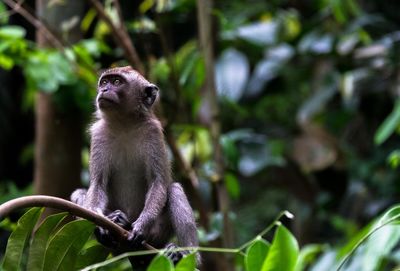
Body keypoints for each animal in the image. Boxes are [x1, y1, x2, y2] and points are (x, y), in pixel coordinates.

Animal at [71, 67, 199, 268]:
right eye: (104, 82)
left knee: (175, 190)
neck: (125, 124)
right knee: (79, 193)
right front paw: (102, 226)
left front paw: (140, 227)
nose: (104, 90)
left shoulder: (153, 132)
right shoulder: (99, 134)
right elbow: (98, 184)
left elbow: (158, 183)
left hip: (158, 233)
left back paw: (184, 254)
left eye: (116, 82)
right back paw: (117, 224)